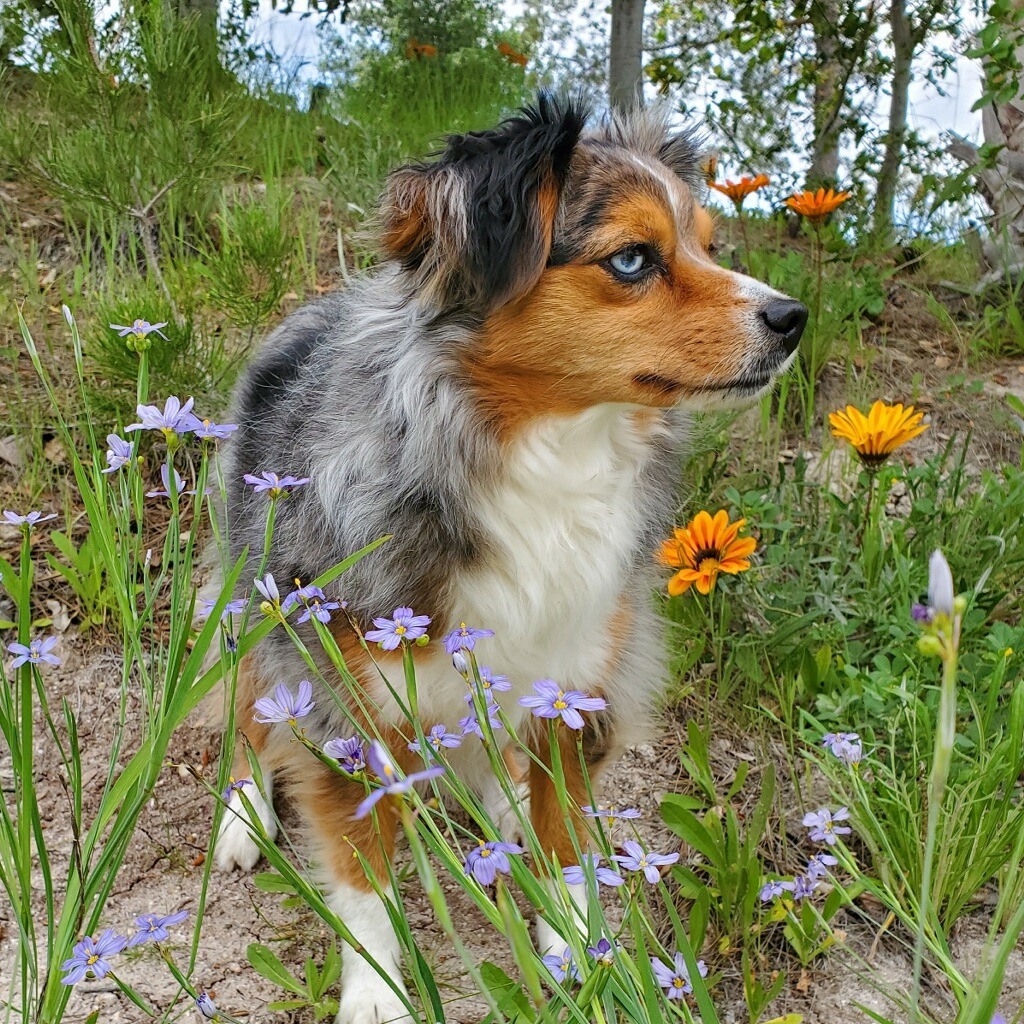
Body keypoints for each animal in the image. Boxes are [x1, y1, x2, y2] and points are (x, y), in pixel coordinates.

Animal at [214, 96, 806, 1024]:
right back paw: (242, 815)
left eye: (710, 245)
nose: (792, 318)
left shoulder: (578, 680)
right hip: (258, 593)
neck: (541, 451)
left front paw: (576, 945)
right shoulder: (347, 699)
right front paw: (379, 991)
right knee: (245, 705)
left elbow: (566, 834)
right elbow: (363, 875)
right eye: (633, 259)